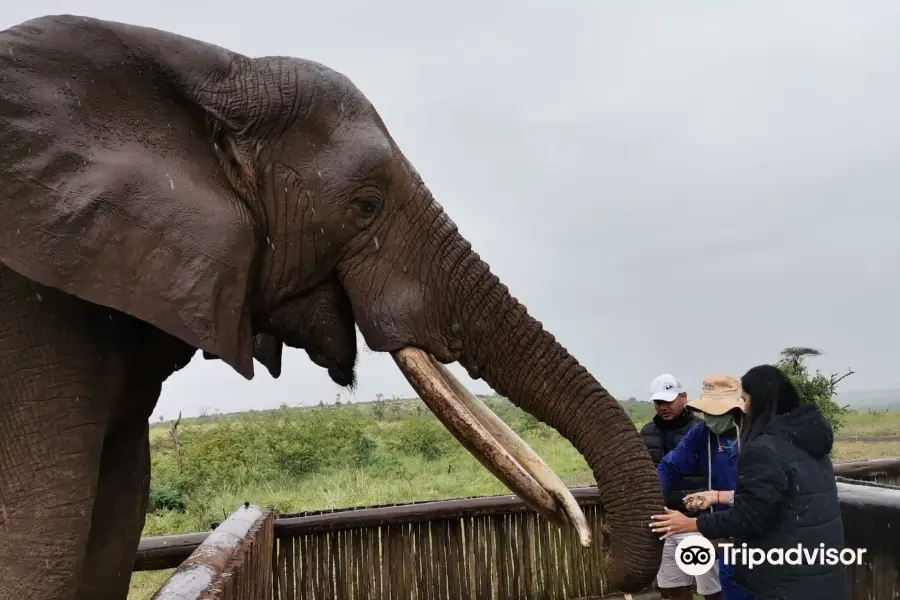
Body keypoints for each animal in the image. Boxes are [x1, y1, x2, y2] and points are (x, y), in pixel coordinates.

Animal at [0, 14, 660, 600]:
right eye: (366, 206)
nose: (599, 547)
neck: (211, 75)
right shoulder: (34, 318)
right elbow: (45, 536)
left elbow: (117, 515)